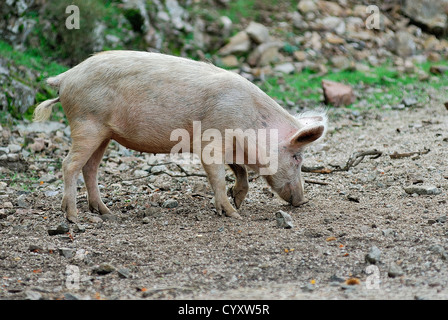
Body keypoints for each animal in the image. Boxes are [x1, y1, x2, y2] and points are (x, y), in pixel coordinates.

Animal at [33, 50, 328, 222]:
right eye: (298, 158)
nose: (302, 201)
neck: (252, 123)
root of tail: (64, 78)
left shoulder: (230, 146)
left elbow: (241, 172)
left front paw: (237, 200)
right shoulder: (211, 140)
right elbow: (217, 176)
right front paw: (232, 214)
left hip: (104, 133)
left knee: (90, 168)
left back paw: (106, 213)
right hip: (87, 124)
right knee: (69, 165)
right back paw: (73, 217)